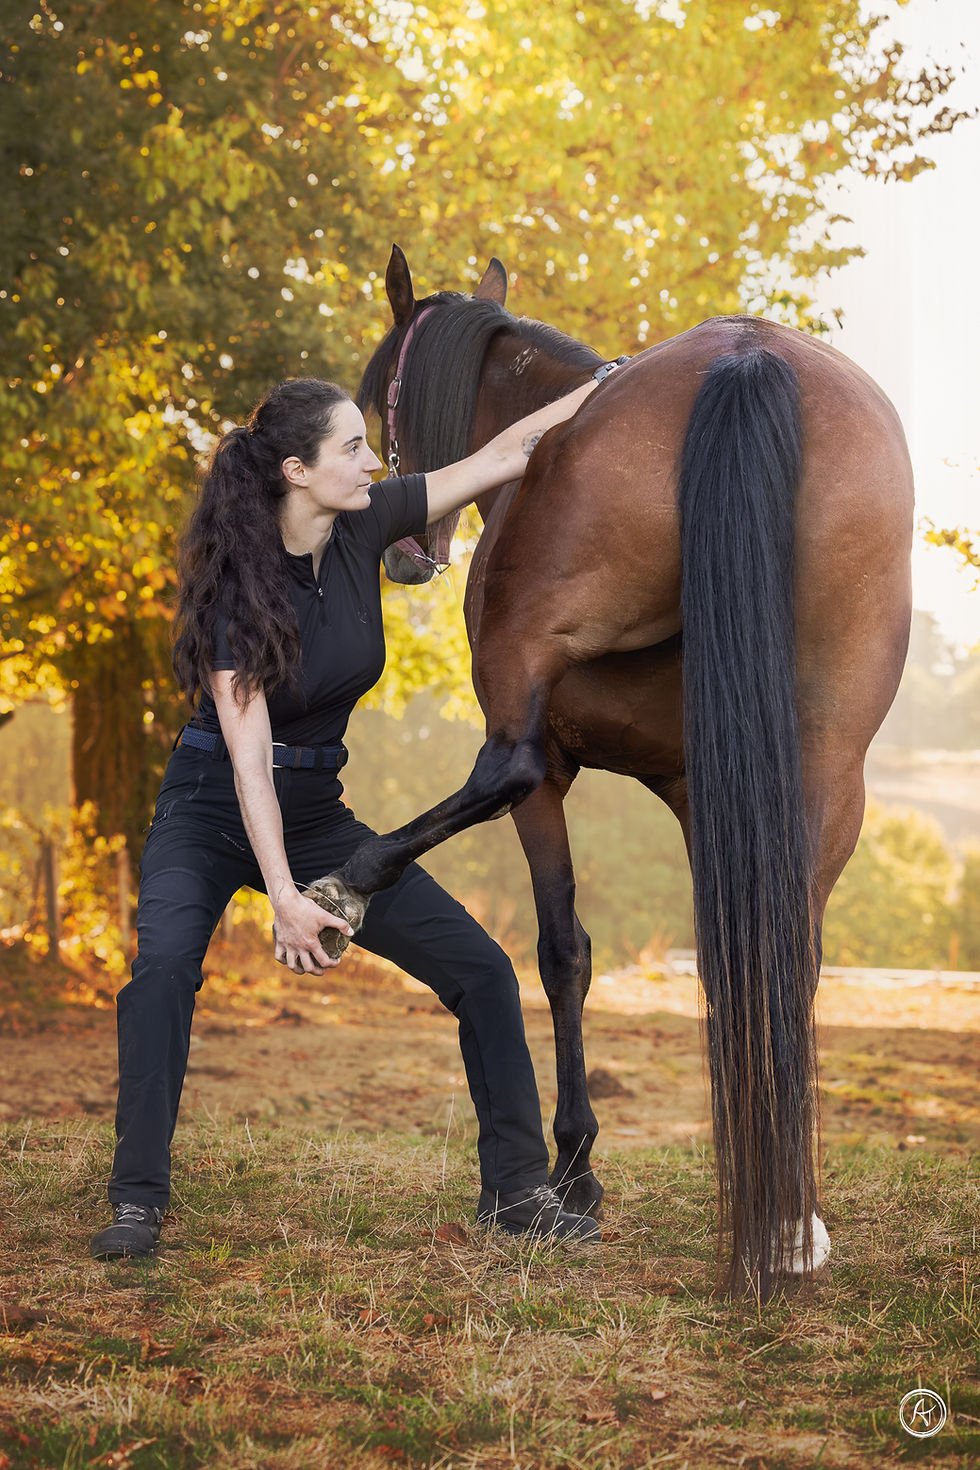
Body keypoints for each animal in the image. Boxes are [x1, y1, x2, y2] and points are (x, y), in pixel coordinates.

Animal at [311, 245, 913, 1298]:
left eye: (379, 397)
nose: (407, 554)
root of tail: (746, 355)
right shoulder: (698, 791)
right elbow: (734, 957)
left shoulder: (556, 765)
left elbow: (564, 952)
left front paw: (577, 1171)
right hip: (830, 766)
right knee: (790, 954)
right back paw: (787, 1221)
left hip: (530, 691)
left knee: (503, 771)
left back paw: (353, 879)